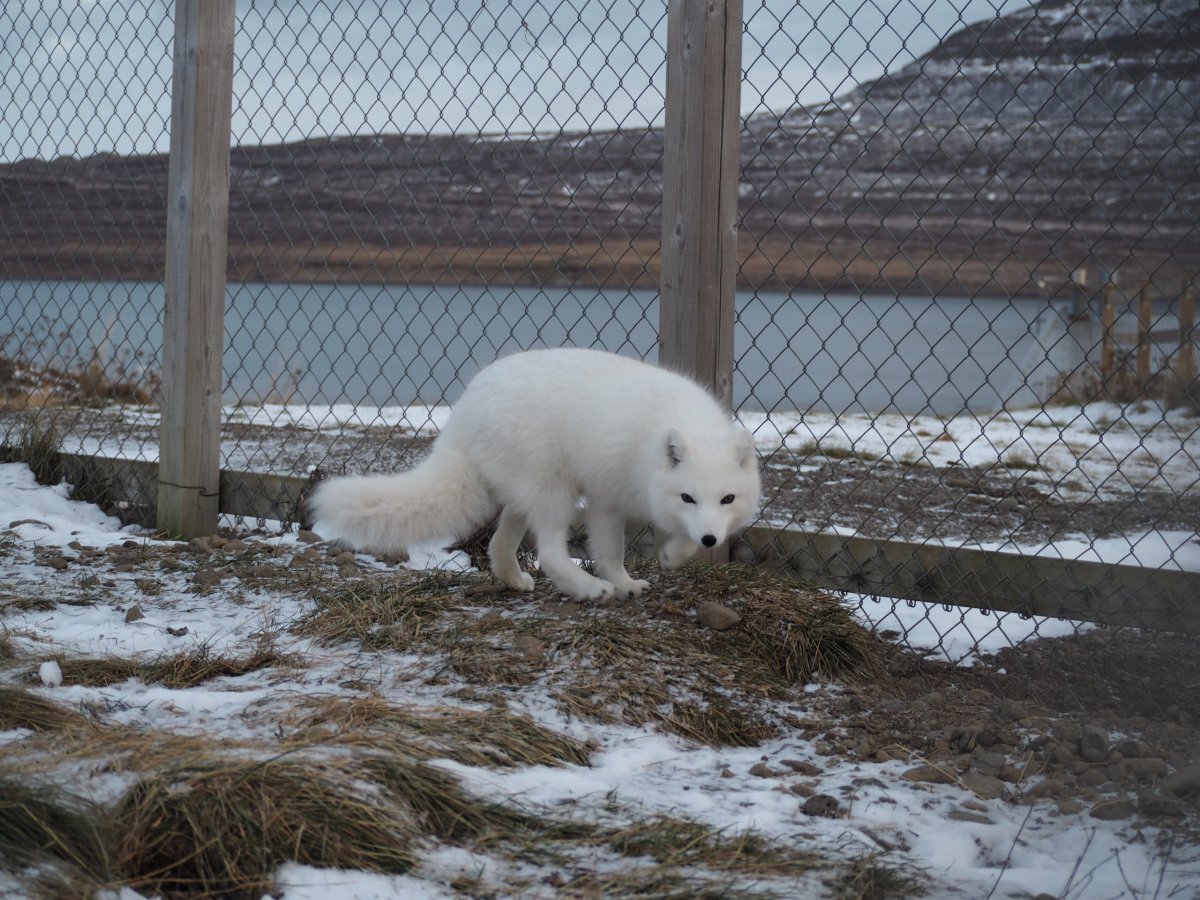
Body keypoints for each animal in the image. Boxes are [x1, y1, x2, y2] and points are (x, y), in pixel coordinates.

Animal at [308, 347, 761, 601]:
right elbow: (610, 552)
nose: (711, 538)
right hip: (553, 490)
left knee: (498, 543)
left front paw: (667, 558)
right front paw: (621, 580)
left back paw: (514, 580)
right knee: (551, 552)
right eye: (688, 497)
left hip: (525, 493)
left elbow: (642, 547)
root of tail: (464, 410)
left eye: (727, 499)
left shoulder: (612, 499)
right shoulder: (607, 495)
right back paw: (586, 589)